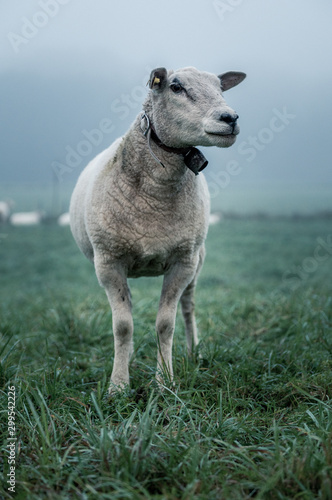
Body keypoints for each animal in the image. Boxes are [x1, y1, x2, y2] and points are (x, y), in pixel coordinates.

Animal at [70, 65, 246, 394]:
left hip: (198, 258)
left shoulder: (182, 262)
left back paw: (193, 352)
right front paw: (118, 386)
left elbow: (166, 324)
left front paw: (165, 381)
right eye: (175, 87)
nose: (230, 118)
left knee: (188, 306)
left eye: (220, 88)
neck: (155, 199)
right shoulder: (108, 262)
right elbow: (122, 325)